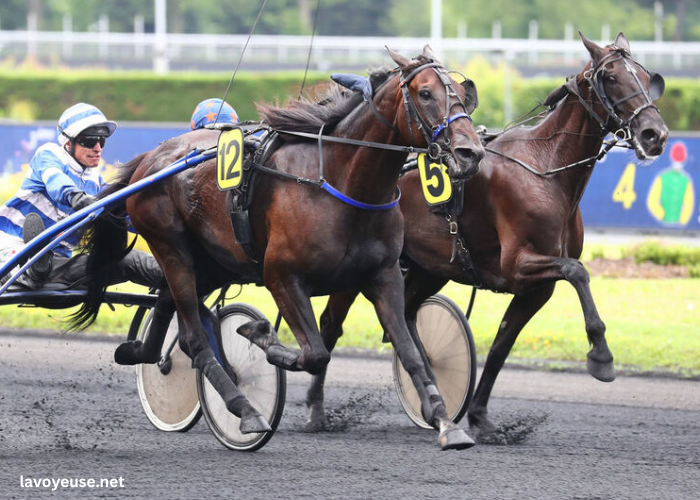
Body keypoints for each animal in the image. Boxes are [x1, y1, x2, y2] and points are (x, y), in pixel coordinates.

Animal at [74, 47, 484, 452]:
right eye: (425, 93)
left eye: (463, 95)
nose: (470, 153)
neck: (340, 183)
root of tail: (150, 159)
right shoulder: (281, 275)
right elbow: (315, 353)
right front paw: (260, 335)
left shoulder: (382, 276)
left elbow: (410, 352)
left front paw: (446, 422)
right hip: (171, 246)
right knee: (194, 338)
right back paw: (246, 411)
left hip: (214, 261)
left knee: (167, 304)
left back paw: (140, 352)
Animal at [308, 33, 668, 438]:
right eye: (611, 77)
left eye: (645, 77)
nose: (654, 134)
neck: (545, 169)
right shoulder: (519, 264)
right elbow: (578, 272)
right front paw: (601, 356)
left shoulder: (536, 288)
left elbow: (500, 347)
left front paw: (480, 416)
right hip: (361, 267)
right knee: (332, 324)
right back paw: (316, 409)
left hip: (429, 267)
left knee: (407, 314)